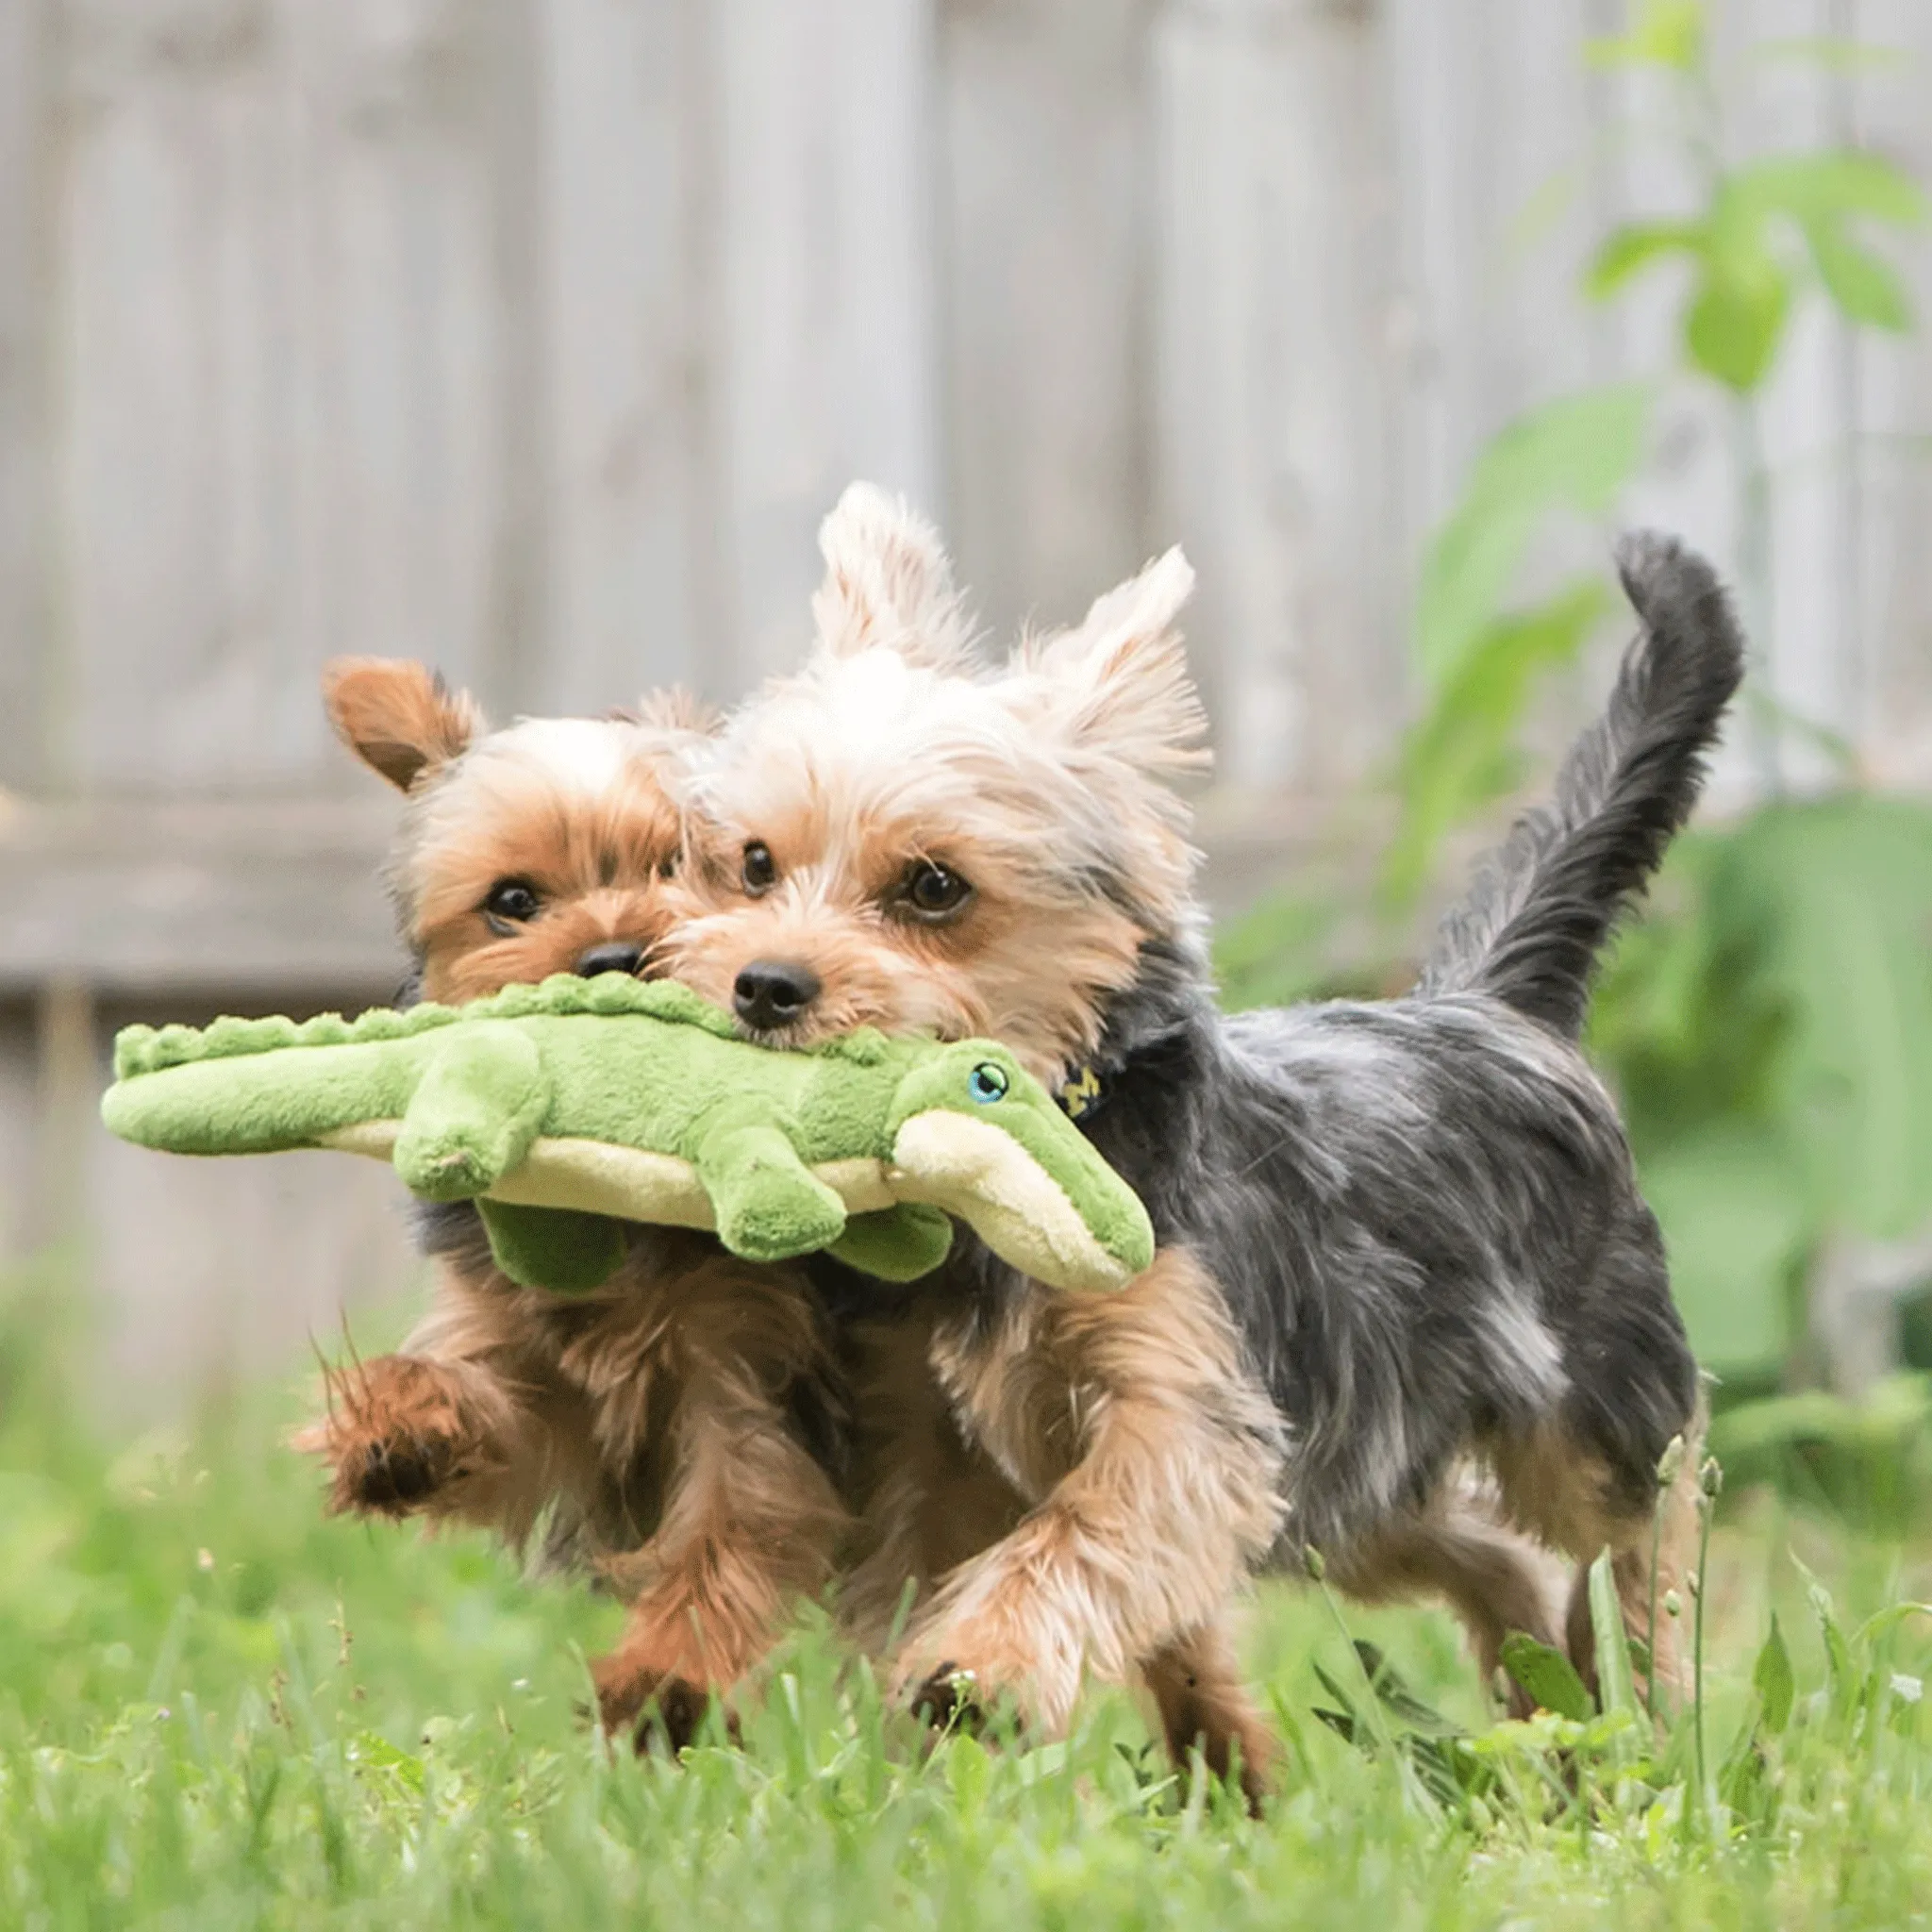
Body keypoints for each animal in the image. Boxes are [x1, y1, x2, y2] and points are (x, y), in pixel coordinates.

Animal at [295, 660, 854, 1739]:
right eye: (512, 901)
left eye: (684, 864)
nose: (611, 956)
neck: (617, 1193)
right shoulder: (525, 1354)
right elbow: (491, 1412)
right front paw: (400, 1425)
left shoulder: (745, 1371)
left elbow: (729, 1520)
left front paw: (663, 1679)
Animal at [660, 487, 1739, 1792]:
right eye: (752, 864)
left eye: (933, 886)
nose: (765, 985)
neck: (1029, 1159)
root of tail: (1492, 1008)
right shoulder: (972, 1426)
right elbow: (1083, 1587)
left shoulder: (1181, 1404)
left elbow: (1084, 1529)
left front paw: (979, 1667)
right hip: (1354, 1478)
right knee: (1496, 1554)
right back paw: (1544, 1721)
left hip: (1581, 1397)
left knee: (1647, 1515)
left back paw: (1661, 1713)